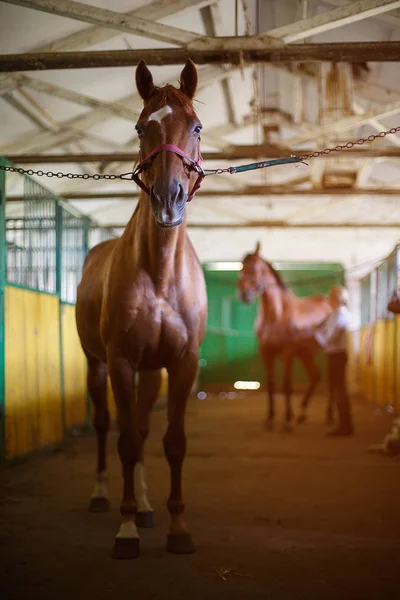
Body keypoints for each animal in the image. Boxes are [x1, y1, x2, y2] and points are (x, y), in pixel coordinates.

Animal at [76, 59, 206, 556]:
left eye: (196, 126)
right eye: (139, 127)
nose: (168, 200)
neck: (161, 273)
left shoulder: (182, 363)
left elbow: (173, 442)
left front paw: (178, 526)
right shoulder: (121, 361)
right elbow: (127, 441)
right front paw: (126, 528)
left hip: (152, 371)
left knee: (146, 430)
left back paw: (149, 507)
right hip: (97, 365)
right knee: (105, 425)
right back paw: (101, 497)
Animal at [238, 244, 332, 432]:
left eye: (254, 267)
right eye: (241, 266)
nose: (244, 293)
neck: (276, 315)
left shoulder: (287, 353)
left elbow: (287, 384)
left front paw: (288, 419)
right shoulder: (266, 353)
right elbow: (271, 384)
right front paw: (270, 418)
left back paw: (329, 416)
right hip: (305, 354)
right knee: (316, 376)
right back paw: (302, 413)